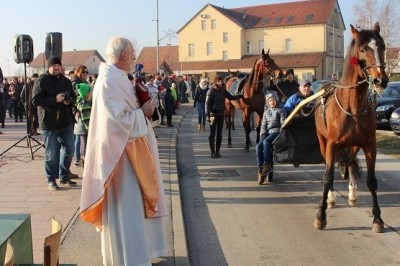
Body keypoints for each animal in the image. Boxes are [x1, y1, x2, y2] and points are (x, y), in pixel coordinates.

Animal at [314, 23, 386, 233]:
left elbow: (372, 181)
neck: (352, 108)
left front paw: (377, 219)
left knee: (350, 161)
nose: (381, 80)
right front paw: (321, 215)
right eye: (362, 49)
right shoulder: (331, 144)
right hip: (323, 142)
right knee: (330, 165)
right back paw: (330, 198)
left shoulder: (369, 145)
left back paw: (352, 193)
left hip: (353, 144)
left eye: (382, 47)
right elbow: (327, 177)